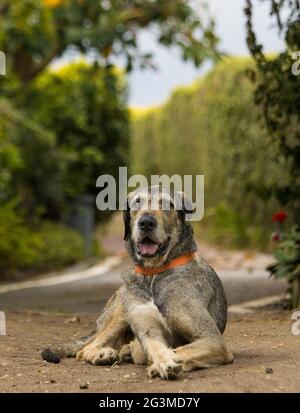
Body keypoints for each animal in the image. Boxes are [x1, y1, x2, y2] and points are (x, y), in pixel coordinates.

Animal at [41, 185, 232, 378]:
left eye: (168, 204)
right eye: (137, 202)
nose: (146, 222)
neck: (153, 274)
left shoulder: (212, 339)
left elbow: (178, 350)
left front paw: (163, 362)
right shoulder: (149, 331)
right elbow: (157, 348)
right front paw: (162, 362)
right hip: (121, 311)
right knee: (85, 349)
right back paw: (104, 354)